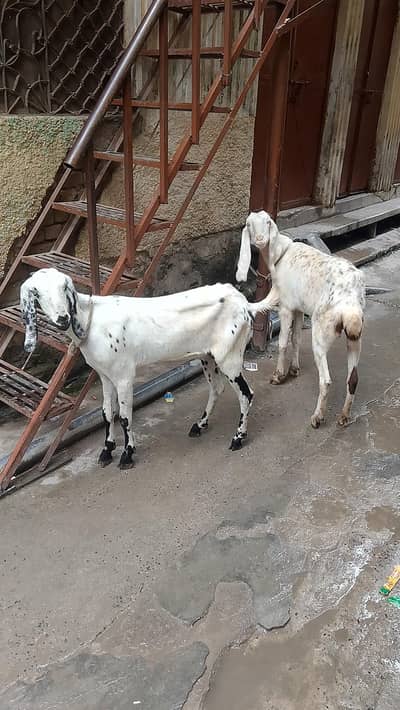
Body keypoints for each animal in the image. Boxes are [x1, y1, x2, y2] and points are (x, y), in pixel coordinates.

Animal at [21, 268, 266, 469]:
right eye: (38, 294)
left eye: (64, 288)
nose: (63, 318)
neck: (91, 320)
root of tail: (245, 303)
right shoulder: (105, 375)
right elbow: (106, 413)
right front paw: (106, 451)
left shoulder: (123, 376)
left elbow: (124, 417)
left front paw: (127, 455)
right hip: (208, 356)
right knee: (216, 389)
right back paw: (199, 425)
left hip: (230, 356)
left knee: (246, 394)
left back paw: (238, 438)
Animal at [236, 211, 366, 428]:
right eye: (249, 224)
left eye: (268, 222)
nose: (260, 240)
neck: (281, 254)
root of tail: (349, 304)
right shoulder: (298, 308)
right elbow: (295, 338)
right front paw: (294, 369)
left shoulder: (286, 307)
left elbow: (282, 342)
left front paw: (279, 375)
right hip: (355, 336)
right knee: (353, 379)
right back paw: (344, 416)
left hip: (321, 331)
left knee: (326, 380)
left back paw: (317, 417)